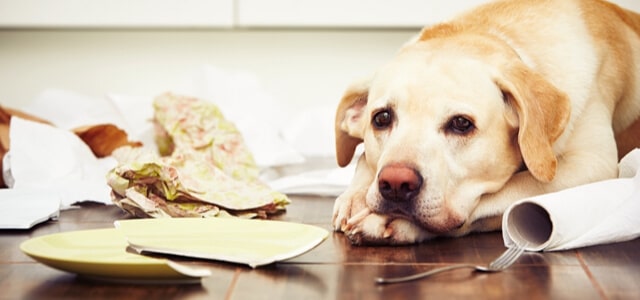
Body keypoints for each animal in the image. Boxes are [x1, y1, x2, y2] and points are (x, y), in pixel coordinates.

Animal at [332, 0, 640, 245]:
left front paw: (387, 221)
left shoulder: (592, 164)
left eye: (461, 124)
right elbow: (364, 159)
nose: (395, 183)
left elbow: (509, 190)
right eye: (382, 118)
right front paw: (355, 195)